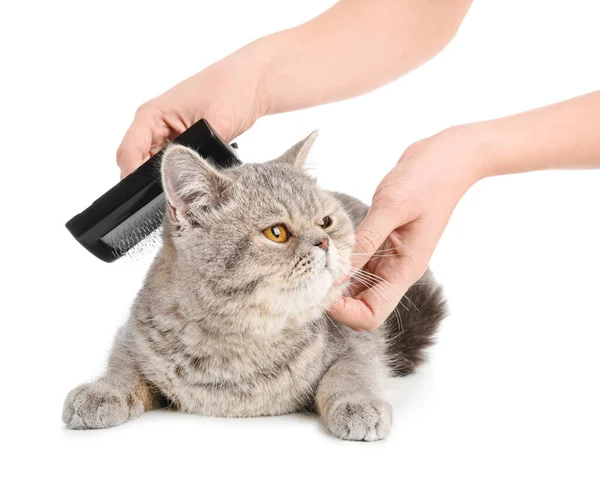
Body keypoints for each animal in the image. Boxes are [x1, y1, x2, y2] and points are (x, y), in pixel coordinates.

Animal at [62, 133, 446, 440]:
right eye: (276, 232)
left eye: (325, 221)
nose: (324, 241)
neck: (239, 344)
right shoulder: (132, 335)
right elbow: (122, 367)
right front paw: (101, 391)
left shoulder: (359, 342)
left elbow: (350, 372)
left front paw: (358, 404)